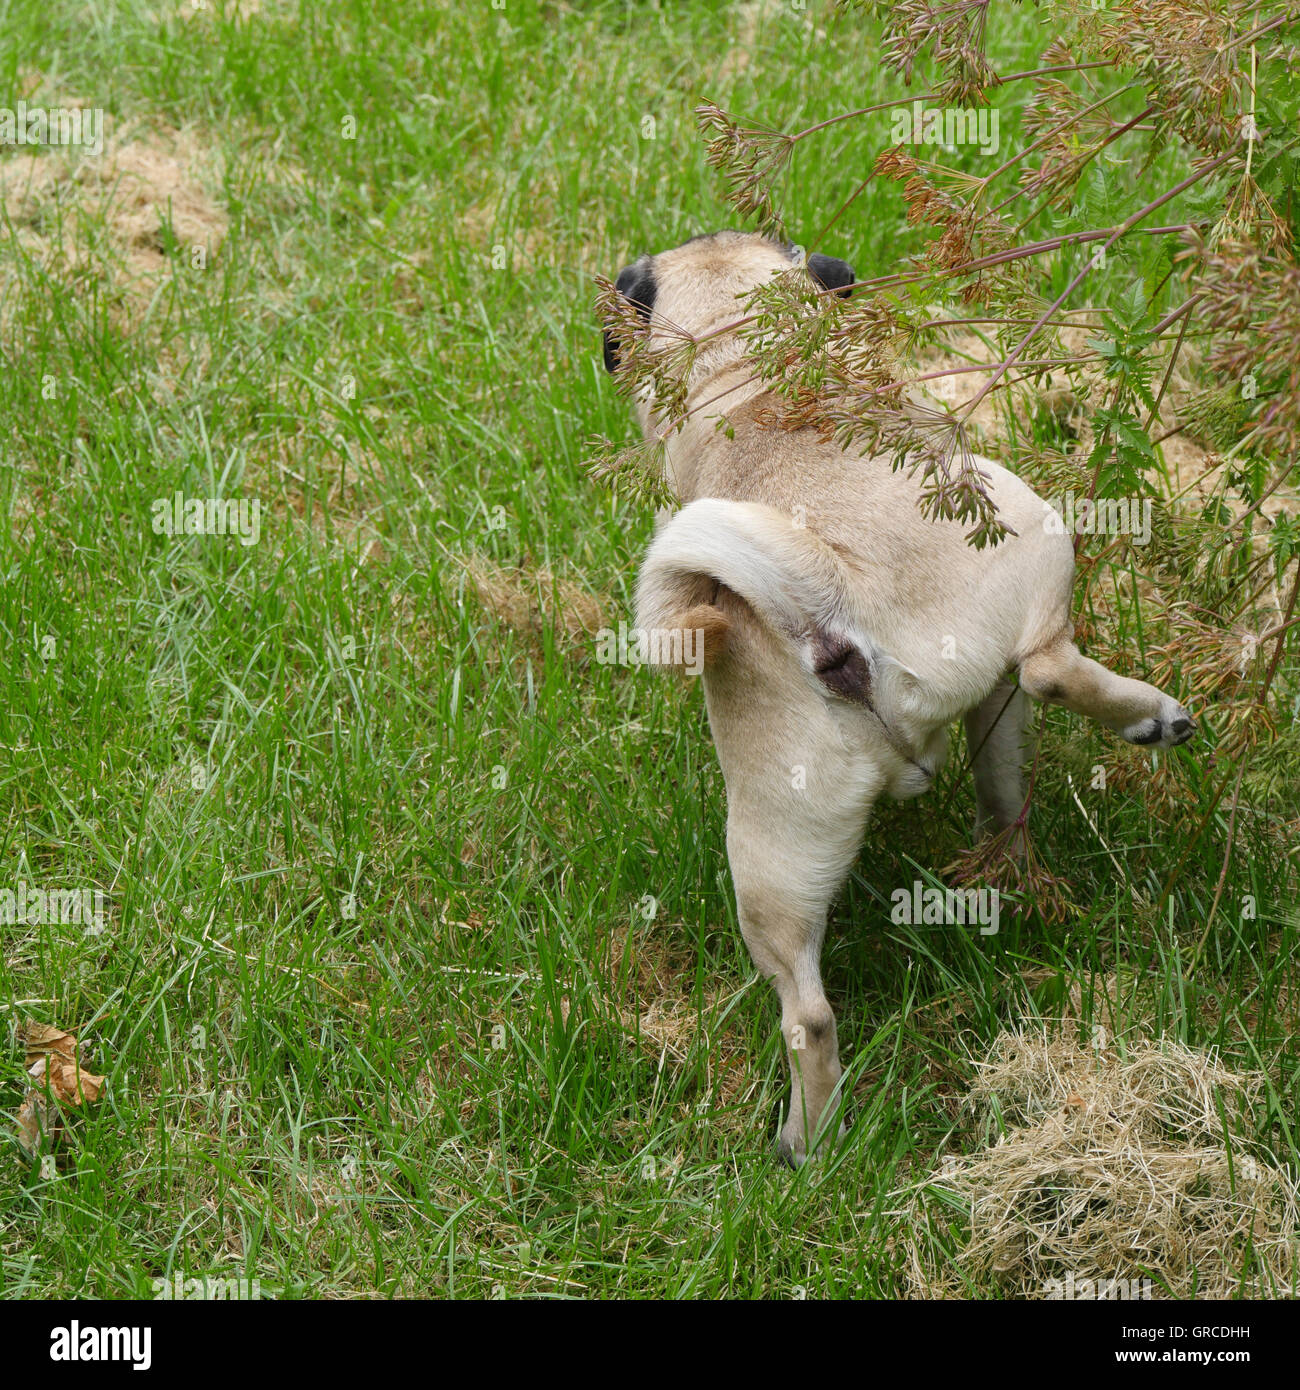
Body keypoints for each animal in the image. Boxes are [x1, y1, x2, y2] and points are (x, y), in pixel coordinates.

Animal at [606, 227, 1195, 1162]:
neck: (741, 367)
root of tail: (826, 607)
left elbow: (1000, 780)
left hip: (773, 851)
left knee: (807, 1012)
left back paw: (806, 1140)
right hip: (1030, 530)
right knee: (1047, 668)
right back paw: (1148, 715)